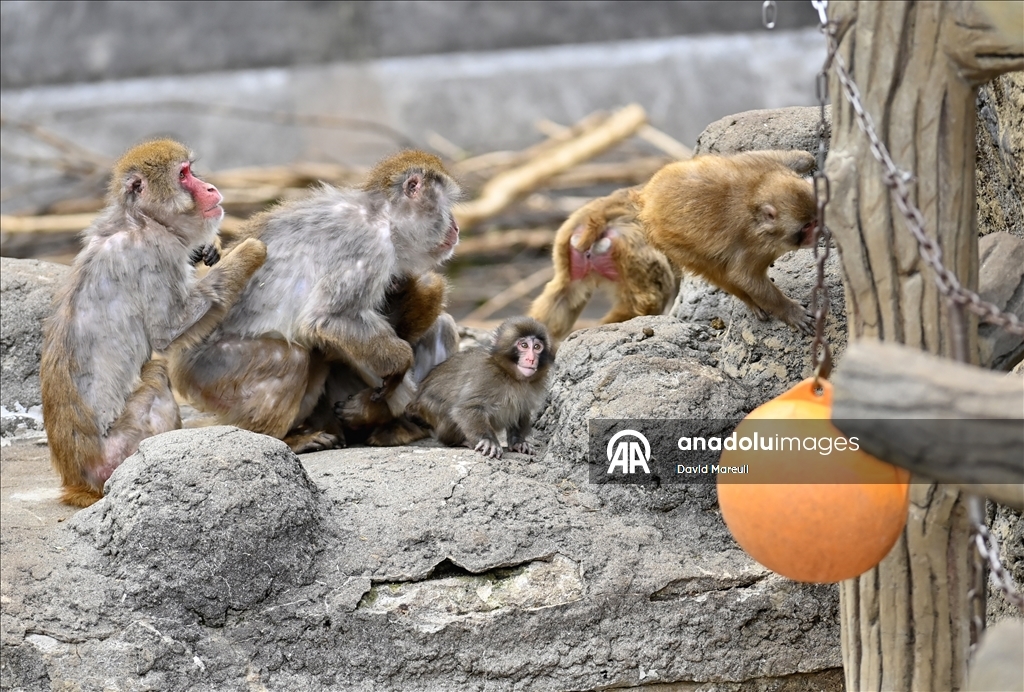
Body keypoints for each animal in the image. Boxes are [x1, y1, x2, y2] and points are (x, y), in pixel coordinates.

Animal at [40, 139, 267, 507]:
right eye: (184, 175)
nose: (209, 187)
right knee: (158, 373)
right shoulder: (155, 254)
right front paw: (252, 251)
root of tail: (78, 479)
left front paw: (208, 249)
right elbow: (166, 333)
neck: (141, 220)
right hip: (121, 448)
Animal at [170, 150, 461, 453]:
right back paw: (282, 437)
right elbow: (327, 319)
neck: (382, 214)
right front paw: (400, 367)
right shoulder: (369, 246)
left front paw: (376, 408)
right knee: (294, 357)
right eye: (446, 206)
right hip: (208, 371)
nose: (456, 227)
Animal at [398, 316, 554, 458]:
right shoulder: (487, 377)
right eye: (524, 345)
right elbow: (466, 408)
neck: (510, 375)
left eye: (537, 347)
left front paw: (518, 442)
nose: (531, 359)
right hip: (428, 407)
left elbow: (522, 412)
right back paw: (458, 441)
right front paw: (488, 441)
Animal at [636, 150, 818, 333]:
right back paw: (748, 300)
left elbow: (805, 158)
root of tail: (647, 198)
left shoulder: (767, 165)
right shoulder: (755, 246)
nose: (817, 233)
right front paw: (791, 311)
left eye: (815, 220)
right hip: (670, 242)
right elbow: (744, 277)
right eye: (806, 226)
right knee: (714, 269)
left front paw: (809, 162)